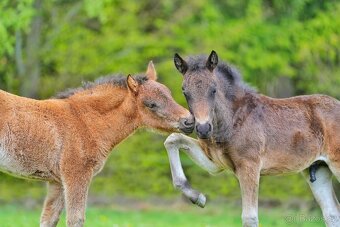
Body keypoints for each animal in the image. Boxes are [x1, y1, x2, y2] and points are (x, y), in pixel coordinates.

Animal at [0, 62, 194, 227]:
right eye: (151, 104)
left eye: (170, 94)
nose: (189, 121)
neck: (83, 120)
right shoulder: (77, 175)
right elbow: (75, 219)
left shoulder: (56, 181)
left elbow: (49, 219)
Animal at [165, 51, 340, 227]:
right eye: (185, 91)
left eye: (213, 89)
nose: (203, 128)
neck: (231, 120)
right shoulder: (214, 164)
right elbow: (172, 139)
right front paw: (197, 197)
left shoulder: (249, 166)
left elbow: (250, 217)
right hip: (318, 171)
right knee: (332, 213)